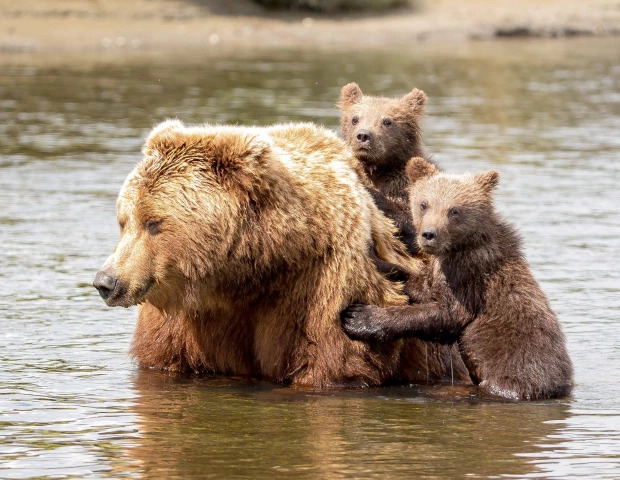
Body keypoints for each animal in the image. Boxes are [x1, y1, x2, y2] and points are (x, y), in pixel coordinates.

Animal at [93, 120, 460, 386]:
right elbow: (162, 361)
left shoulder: (321, 288)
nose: (106, 281)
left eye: (153, 223)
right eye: (124, 221)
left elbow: (330, 363)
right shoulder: (187, 318)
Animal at [342, 158, 572, 402]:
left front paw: (359, 317)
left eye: (454, 210)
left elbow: (446, 314)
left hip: (514, 376)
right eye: (424, 204)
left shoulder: (469, 276)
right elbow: (418, 284)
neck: (457, 247)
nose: (429, 234)